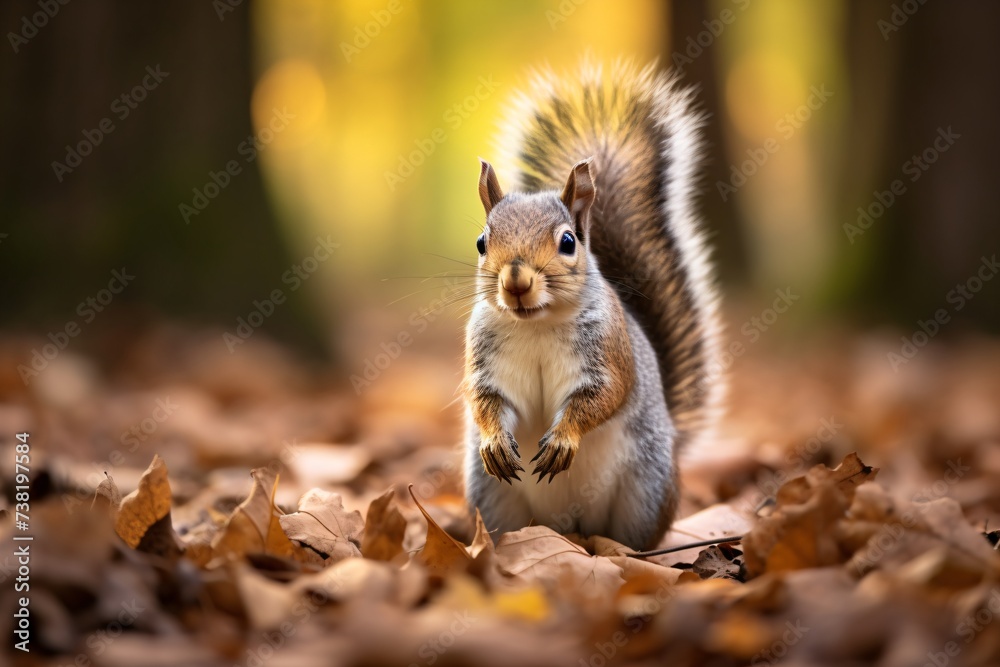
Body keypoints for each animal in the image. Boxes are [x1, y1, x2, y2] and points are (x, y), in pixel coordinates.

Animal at [462, 60, 723, 551]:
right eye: (482, 242)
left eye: (568, 242)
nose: (516, 281)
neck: (537, 324)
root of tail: (572, 527)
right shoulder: (484, 358)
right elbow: (483, 397)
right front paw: (494, 440)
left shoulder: (608, 352)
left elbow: (605, 395)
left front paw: (564, 439)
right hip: (492, 498)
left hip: (645, 489)